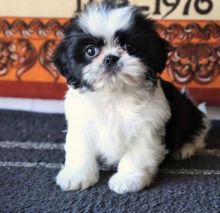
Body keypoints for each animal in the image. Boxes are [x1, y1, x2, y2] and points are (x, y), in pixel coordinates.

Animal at [52, 0, 209, 194]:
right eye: (90, 51)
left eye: (130, 47)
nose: (111, 58)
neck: (114, 94)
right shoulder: (81, 122)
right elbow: (79, 149)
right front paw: (76, 175)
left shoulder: (147, 125)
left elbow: (137, 154)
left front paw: (128, 179)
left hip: (187, 111)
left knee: (199, 127)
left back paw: (185, 147)